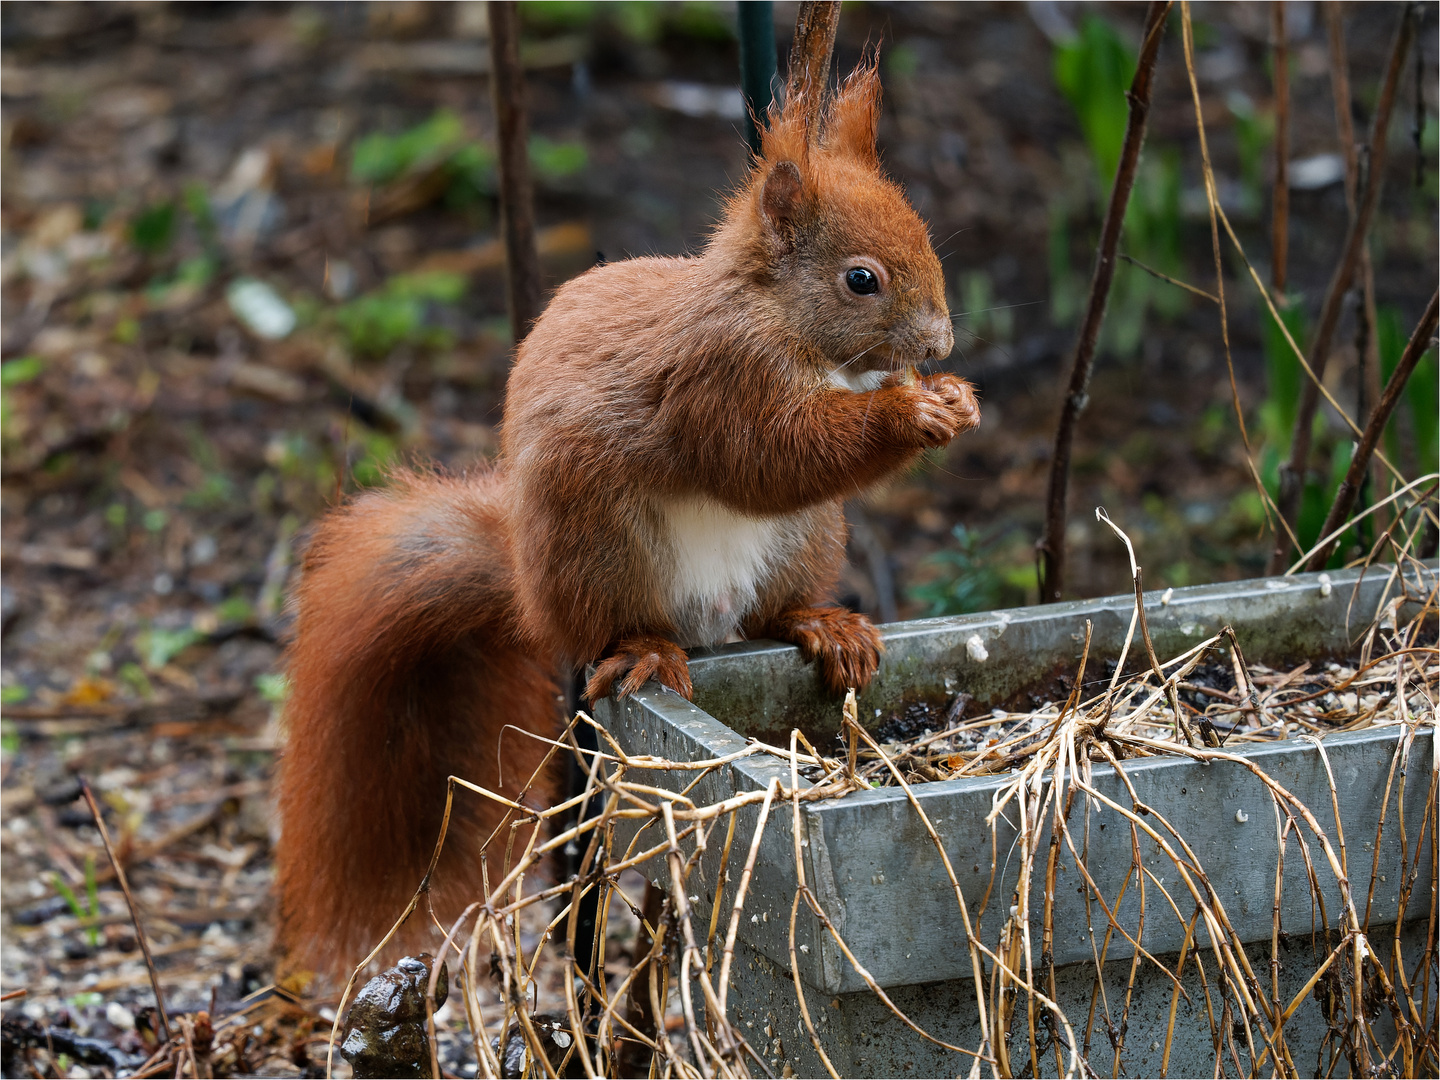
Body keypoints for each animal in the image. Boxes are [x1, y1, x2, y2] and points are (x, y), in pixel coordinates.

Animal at [276, 63, 984, 984]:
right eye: (860, 279)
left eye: (927, 237)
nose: (938, 346)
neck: (783, 321)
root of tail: (531, 592)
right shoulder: (719, 378)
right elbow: (771, 455)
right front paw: (913, 413)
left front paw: (954, 399)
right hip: (602, 543)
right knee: (617, 628)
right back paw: (647, 649)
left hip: (805, 539)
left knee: (772, 611)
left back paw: (822, 625)